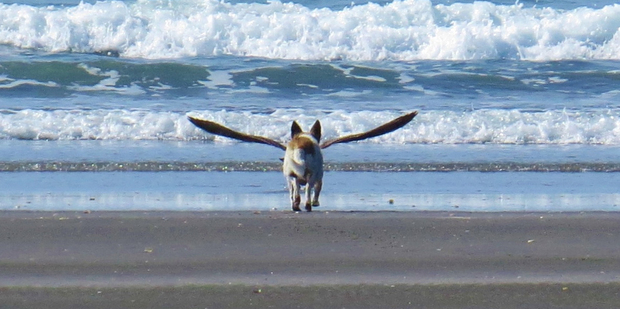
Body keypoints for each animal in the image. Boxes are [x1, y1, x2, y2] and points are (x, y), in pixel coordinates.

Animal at [188, 111, 416, 212]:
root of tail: (302, 145)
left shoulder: (296, 177)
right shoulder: (318, 178)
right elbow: (315, 192)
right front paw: (315, 202)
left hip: (295, 175)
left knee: (298, 192)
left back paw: (299, 205)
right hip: (310, 174)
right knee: (304, 192)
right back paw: (306, 205)